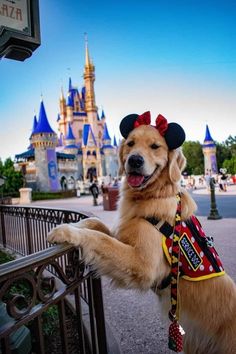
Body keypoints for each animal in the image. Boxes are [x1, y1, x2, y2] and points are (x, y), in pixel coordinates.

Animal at [47, 111, 236, 354]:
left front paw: (64, 231)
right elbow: (95, 223)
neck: (151, 196)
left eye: (155, 146)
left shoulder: (143, 264)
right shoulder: (123, 234)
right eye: (130, 143)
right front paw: (72, 224)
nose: (134, 160)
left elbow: (99, 239)